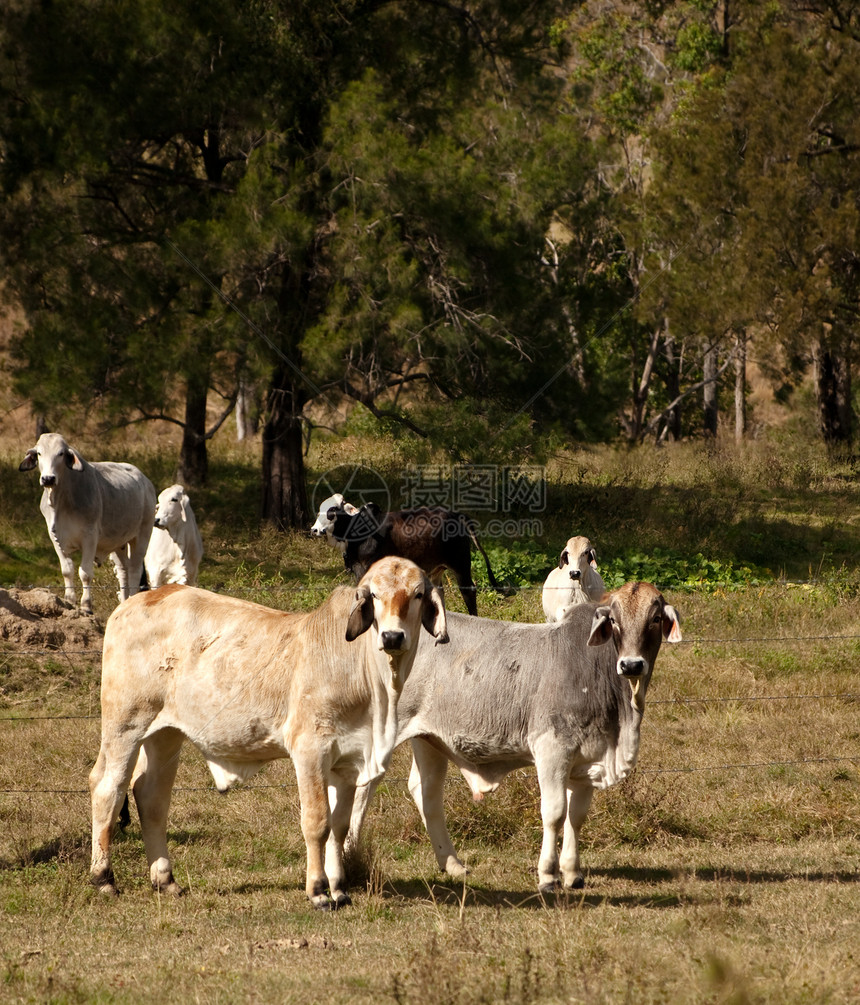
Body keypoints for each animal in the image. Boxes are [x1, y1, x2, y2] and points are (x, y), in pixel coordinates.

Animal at [19, 432, 155, 611]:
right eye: (39, 453)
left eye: (60, 453)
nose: (48, 479)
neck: (61, 501)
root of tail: (146, 481)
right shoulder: (55, 537)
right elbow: (67, 570)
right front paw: (70, 600)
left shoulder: (90, 537)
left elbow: (85, 573)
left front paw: (86, 605)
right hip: (118, 544)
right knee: (123, 571)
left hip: (142, 535)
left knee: (134, 570)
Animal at [88, 558, 450, 912]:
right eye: (374, 595)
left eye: (417, 594)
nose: (392, 637)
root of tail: (134, 602)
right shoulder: (310, 751)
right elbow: (317, 823)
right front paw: (318, 891)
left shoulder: (349, 761)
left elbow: (339, 827)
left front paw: (339, 890)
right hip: (125, 724)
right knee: (108, 787)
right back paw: (104, 878)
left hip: (165, 734)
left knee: (151, 796)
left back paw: (165, 879)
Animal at [343, 582, 679, 896]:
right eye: (615, 620)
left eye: (655, 618)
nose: (631, 665)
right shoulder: (552, 750)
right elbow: (555, 813)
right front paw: (547, 875)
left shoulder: (588, 760)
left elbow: (576, 816)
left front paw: (573, 873)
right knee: (364, 787)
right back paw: (349, 854)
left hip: (428, 739)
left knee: (426, 791)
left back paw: (452, 863)